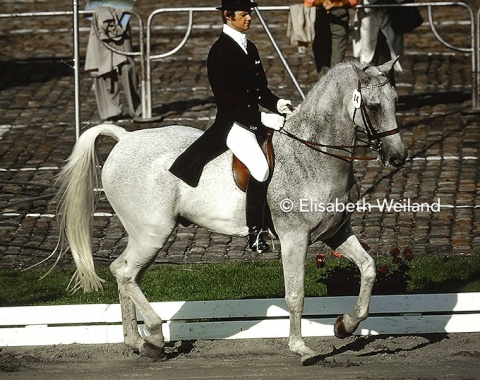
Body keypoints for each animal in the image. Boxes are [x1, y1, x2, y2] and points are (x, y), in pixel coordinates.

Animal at [52, 58, 404, 366]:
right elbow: (296, 294)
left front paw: (345, 325)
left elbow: (368, 268)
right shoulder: (294, 239)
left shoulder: (336, 233)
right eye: (374, 106)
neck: (313, 153)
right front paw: (301, 348)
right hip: (152, 234)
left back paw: (139, 343)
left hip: (146, 237)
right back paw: (154, 336)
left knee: (125, 273)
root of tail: (124, 139)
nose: (398, 158)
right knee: (125, 273)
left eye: (396, 101)